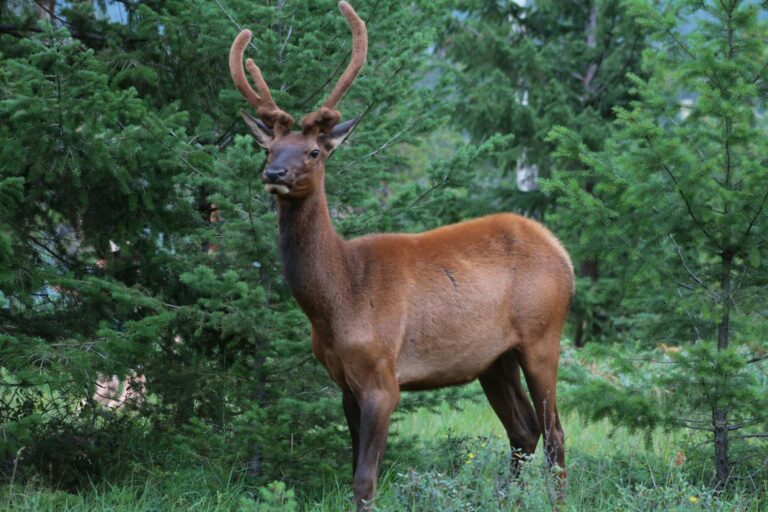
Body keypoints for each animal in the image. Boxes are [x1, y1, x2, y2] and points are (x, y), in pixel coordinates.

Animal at [228, 2, 574, 509]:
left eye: (313, 152)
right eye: (269, 147)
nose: (273, 173)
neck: (338, 298)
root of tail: (562, 254)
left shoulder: (382, 376)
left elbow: (365, 481)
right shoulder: (343, 382)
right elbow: (352, 472)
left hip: (543, 335)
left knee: (554, 435)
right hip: (493, 359)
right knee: (523, 431)